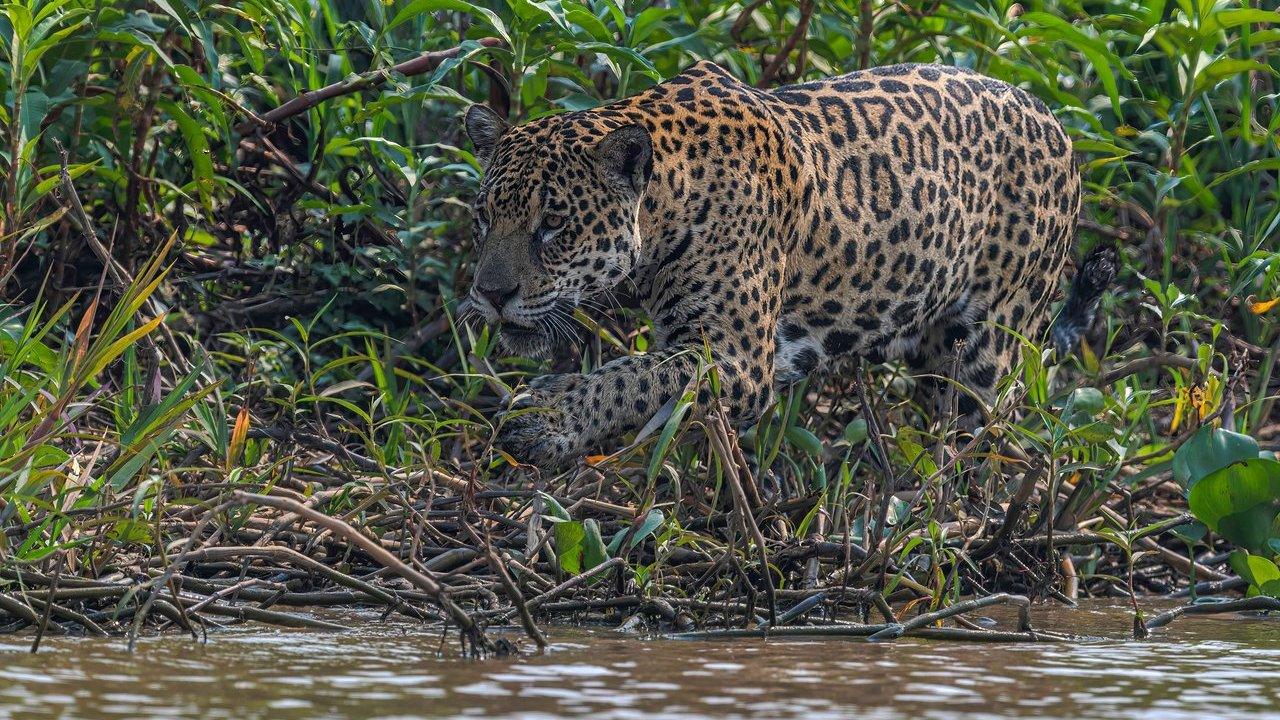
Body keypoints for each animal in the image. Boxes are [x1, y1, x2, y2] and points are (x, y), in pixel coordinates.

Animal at [460, 60, 1114, 468]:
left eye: (553, 226)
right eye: (484, 217)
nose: (490, 294)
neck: (666, 198)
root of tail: (1059, 121)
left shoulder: (737, 360)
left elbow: (628, 378)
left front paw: (547, 419)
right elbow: (632, 375)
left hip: (992, 347)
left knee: (991, 429)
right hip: (933, 347)